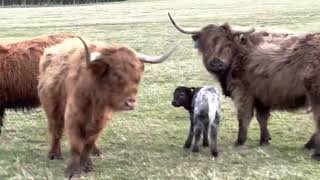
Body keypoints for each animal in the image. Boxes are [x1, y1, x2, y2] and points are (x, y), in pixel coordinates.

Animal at [38, 36, 176, 177]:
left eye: (137, 76)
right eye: (115, 74)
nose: (130, 103)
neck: (96, 101)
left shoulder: (102, 119)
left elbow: (89, 142)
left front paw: (87, 166)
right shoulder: (73, 117)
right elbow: (76, 145)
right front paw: (72, 170)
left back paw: (96, 151)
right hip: (52, 108)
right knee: (56, 130)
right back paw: (54, 154)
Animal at [169, 12, 320, 160]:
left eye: (227, 44)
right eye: (205, 44)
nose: (216, 64)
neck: (239, 54)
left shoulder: (243, 92)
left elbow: (244, 116)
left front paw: (240, 141)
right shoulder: (261, 96)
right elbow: (262, 118)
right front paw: (264, 140)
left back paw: (314, 152)